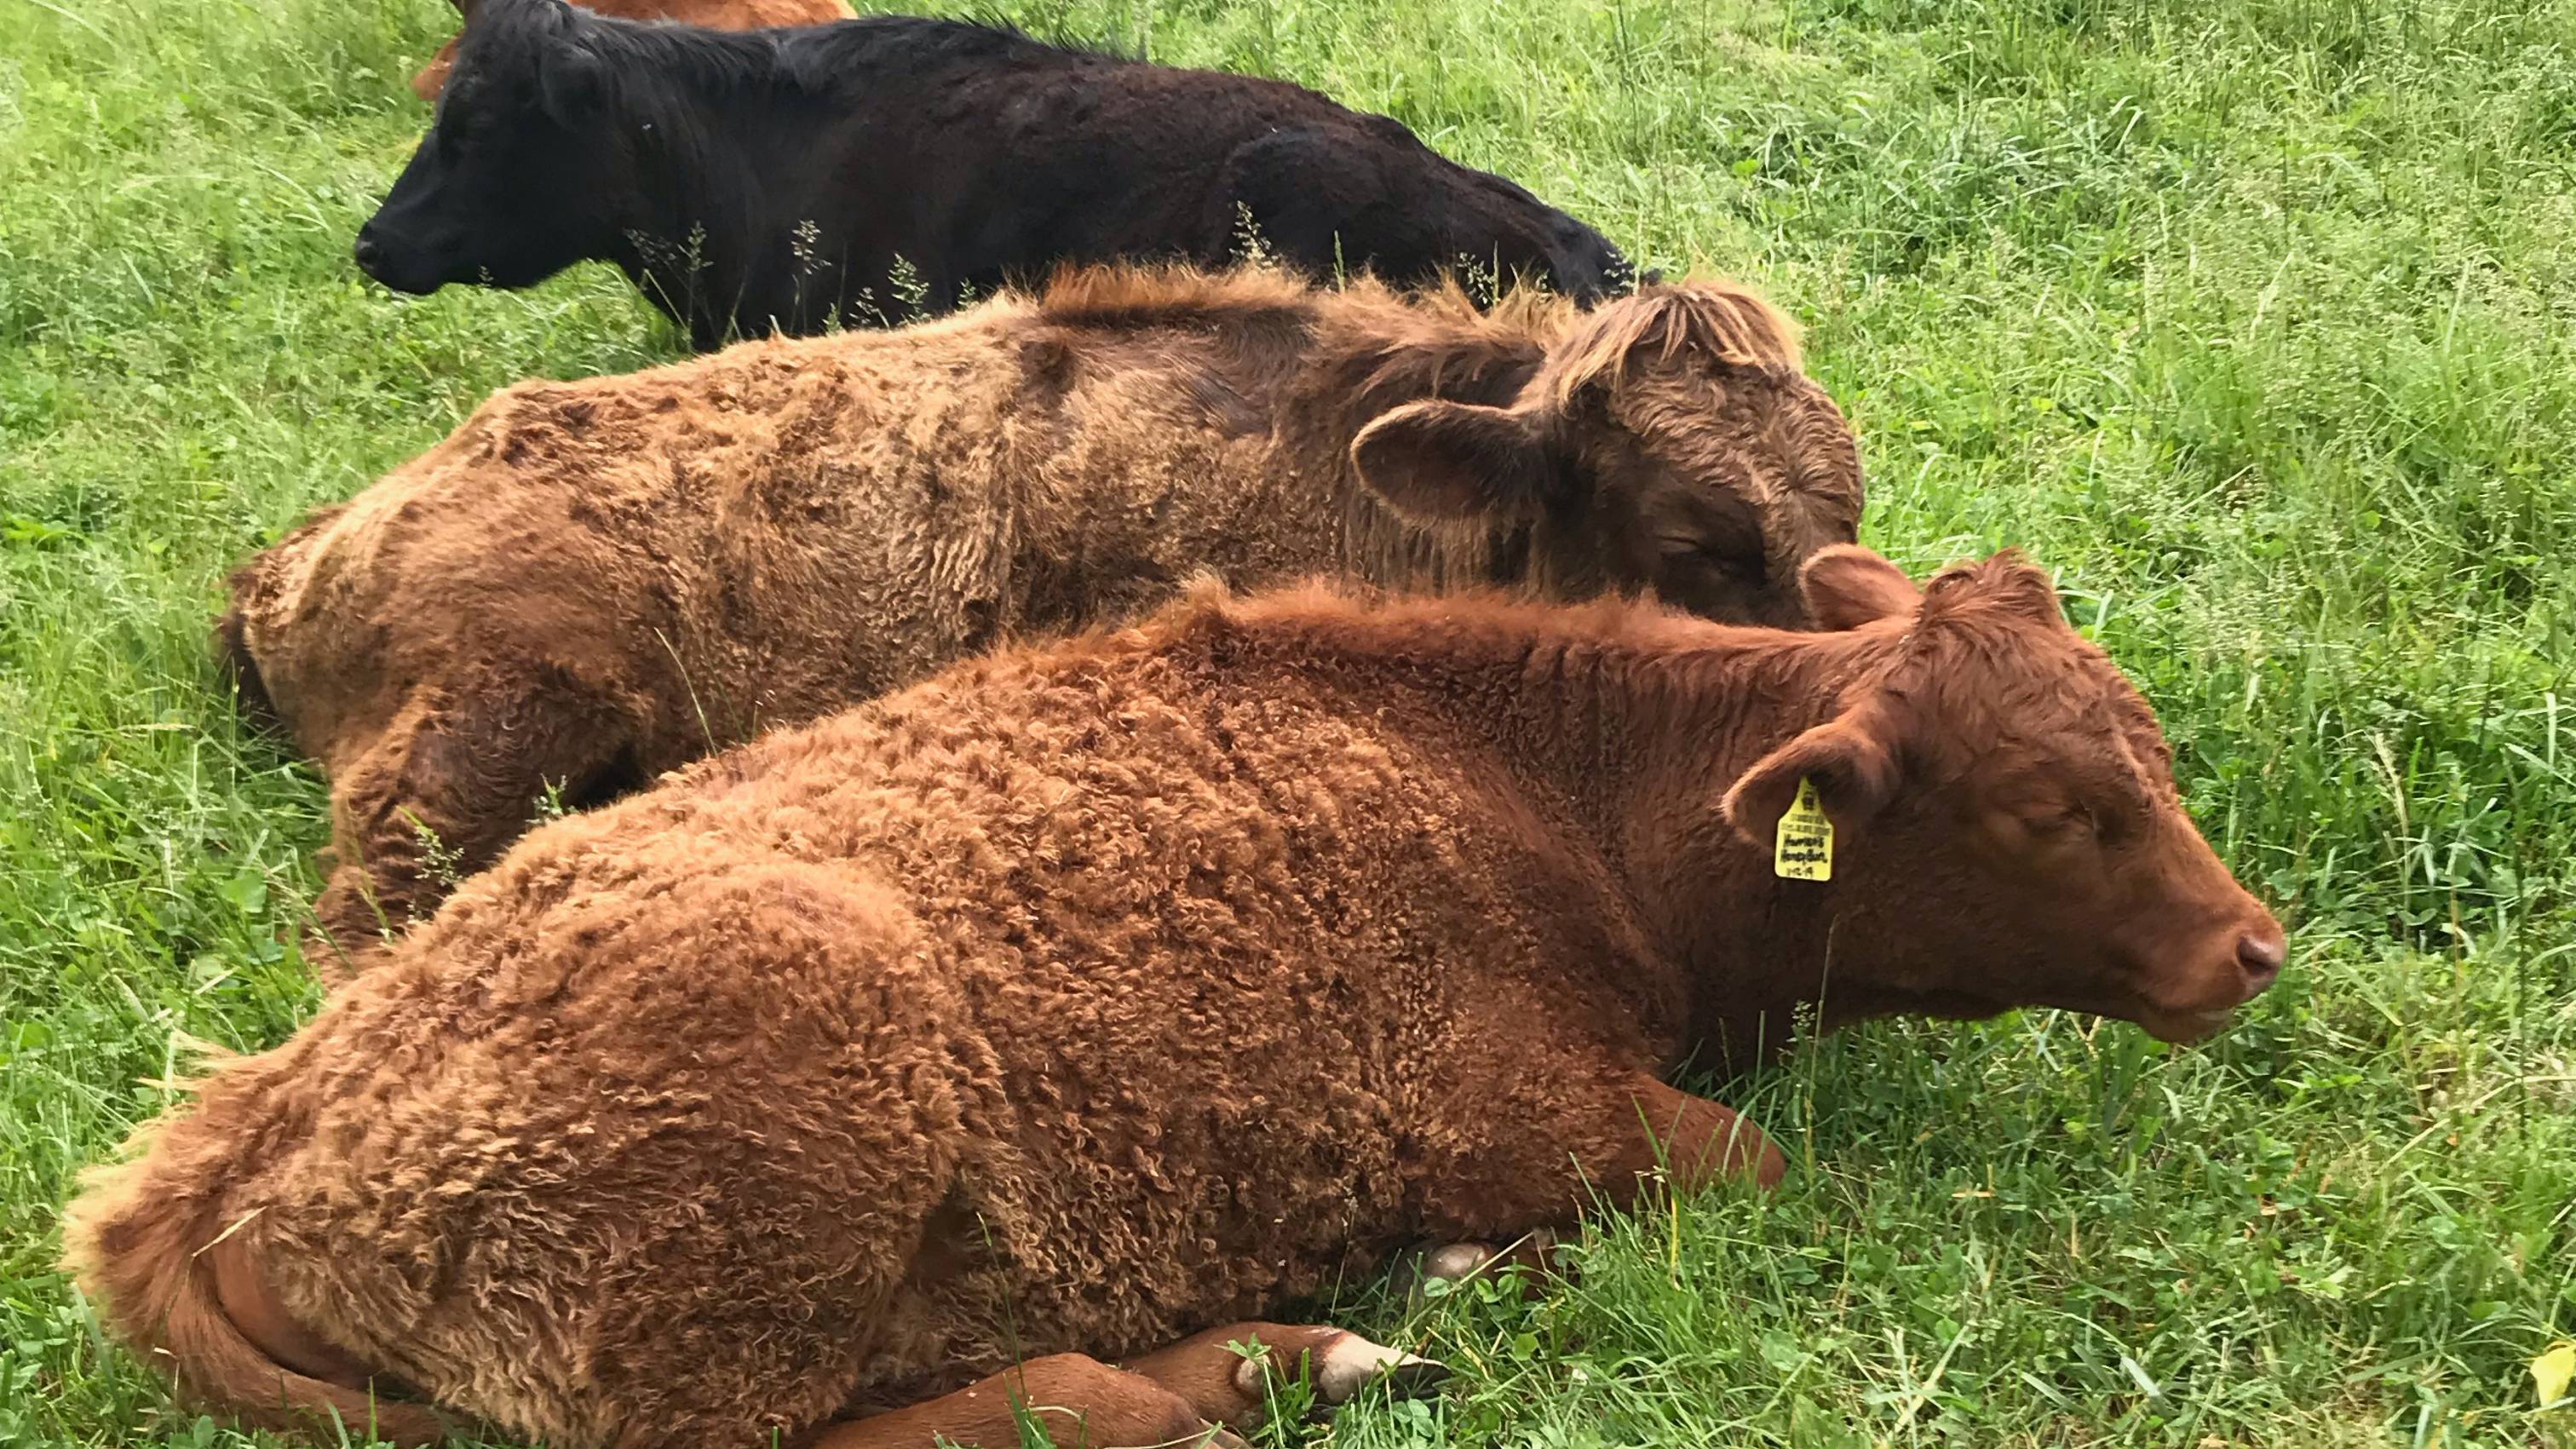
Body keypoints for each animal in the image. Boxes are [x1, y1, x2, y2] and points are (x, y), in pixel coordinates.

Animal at [69, 547, 2288, 1449]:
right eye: (2051, 805)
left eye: (2155, 745)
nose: (2250, 946)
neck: (1539, 784)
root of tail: (248, 1125)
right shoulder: (1509, 1103)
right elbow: (1750, 1173)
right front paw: (1458, 1270)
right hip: (754, 1203)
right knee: (946, 1416)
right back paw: (1271, 1360)